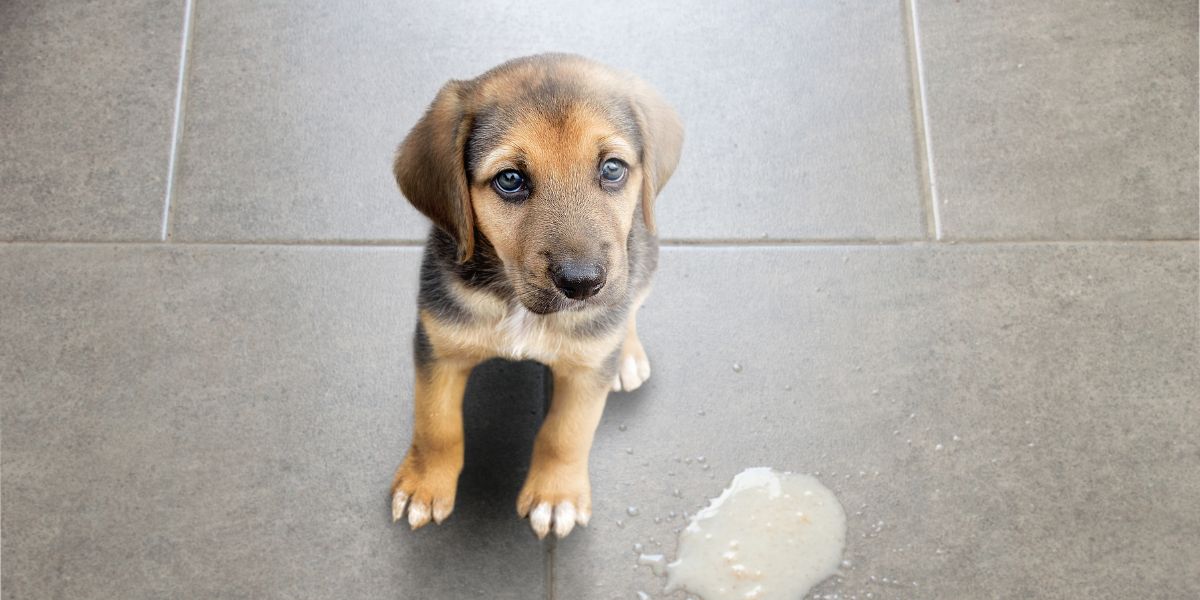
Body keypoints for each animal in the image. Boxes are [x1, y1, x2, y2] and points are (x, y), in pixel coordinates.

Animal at [388, 52, 681, 540]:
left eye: (613, 169)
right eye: (510, 179)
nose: (582, 284)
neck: (517, 304)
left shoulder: (585, 372)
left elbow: (566, 433)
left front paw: (555, 496)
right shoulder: (438, 345)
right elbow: (436, 424)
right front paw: (424, 485)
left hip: (643, 261)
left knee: (630, 307)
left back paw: (627, 355)